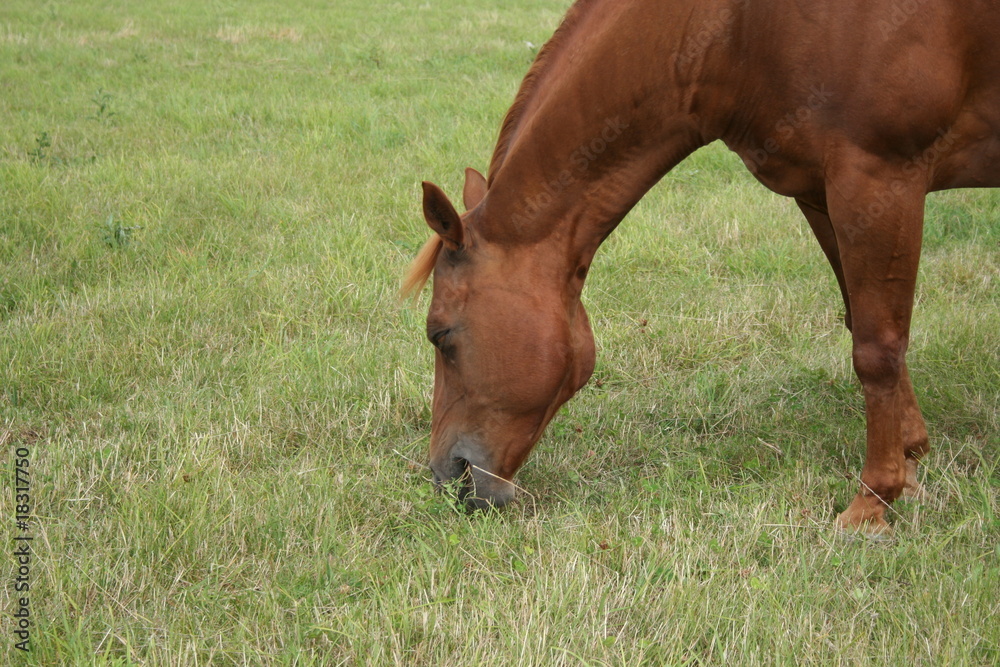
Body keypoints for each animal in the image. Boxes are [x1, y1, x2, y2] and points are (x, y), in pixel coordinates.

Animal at [402, 0, 1000, 534]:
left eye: (440, 335)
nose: (447, 478)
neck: (740, 27)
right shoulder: (822, 192)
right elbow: (862, 322)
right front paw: (911, 461)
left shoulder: (877, 177)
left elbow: (877, 350)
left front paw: (872, 503)